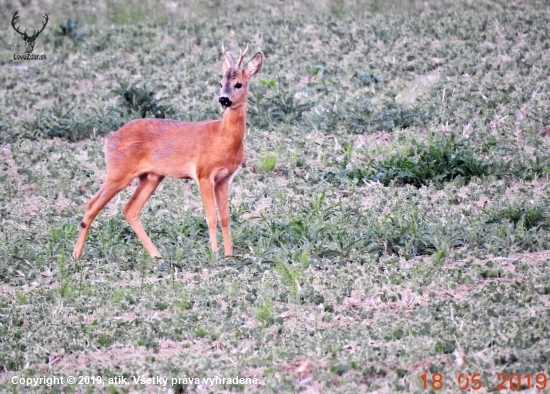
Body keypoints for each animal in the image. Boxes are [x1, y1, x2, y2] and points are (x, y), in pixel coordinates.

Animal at [73, 46, 264, 260]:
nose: (223, 99)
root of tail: (110, 139)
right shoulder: (203, 174)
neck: (221, 137)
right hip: (118, 172)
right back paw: (75, 256)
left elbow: (224, 217)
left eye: (239, 84)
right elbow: (211, 217)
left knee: (129, 209)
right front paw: (214, 254)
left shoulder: (224, 178)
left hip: (151, 176)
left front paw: (229, 255)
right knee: (92, 205)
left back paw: (156, 255)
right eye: (220, 83)